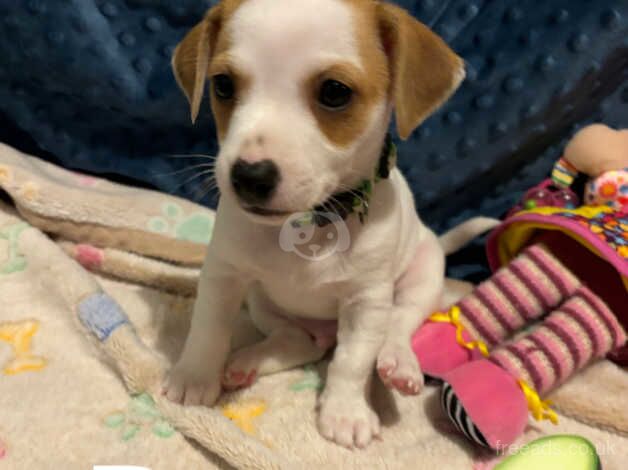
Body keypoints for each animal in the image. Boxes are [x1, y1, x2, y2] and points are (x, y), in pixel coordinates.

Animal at [164, 0, 468, 448]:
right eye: (222, 85)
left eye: (334, 92)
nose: (249, 176)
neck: (308, 224)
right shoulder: (224, 274)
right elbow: (207, 328)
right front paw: (194, 376)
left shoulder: (366, 302)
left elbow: (352, 361)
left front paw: (344, 412)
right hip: (263, 302)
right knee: (299, 341)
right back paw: (250, 360)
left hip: (423, 275)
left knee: (397, 325)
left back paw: (399, 364)